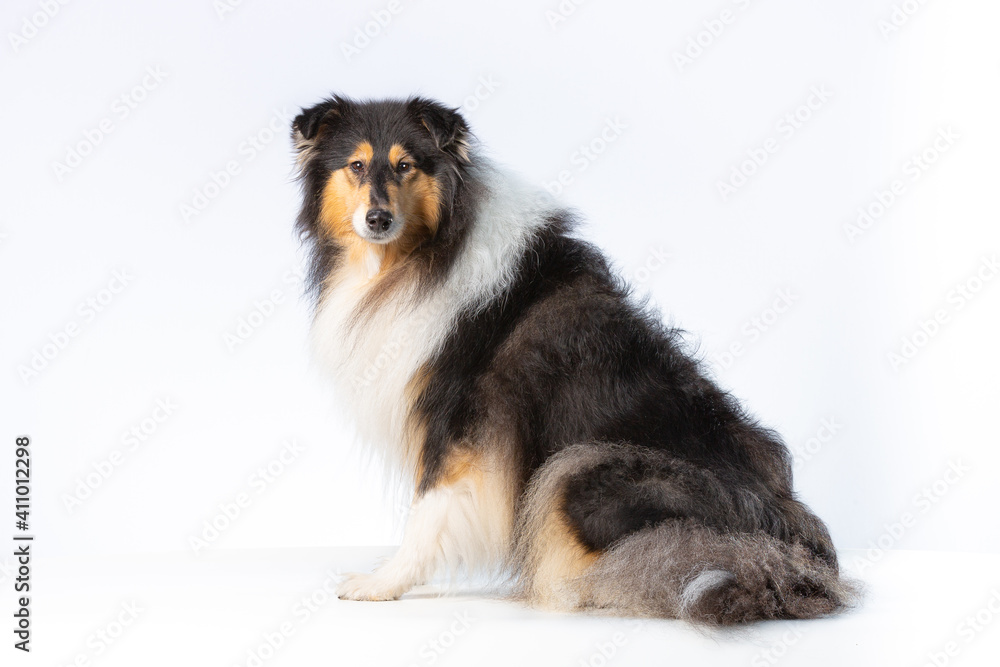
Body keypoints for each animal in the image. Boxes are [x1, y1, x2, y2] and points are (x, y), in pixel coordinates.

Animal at [288, 95, 852, 628]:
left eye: (405, 165)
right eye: (356, 165)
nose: (377, 219)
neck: (420, 255)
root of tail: (800, 553)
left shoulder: (458, 425)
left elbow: (428, 511)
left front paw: (381, 582)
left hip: (582, 467)